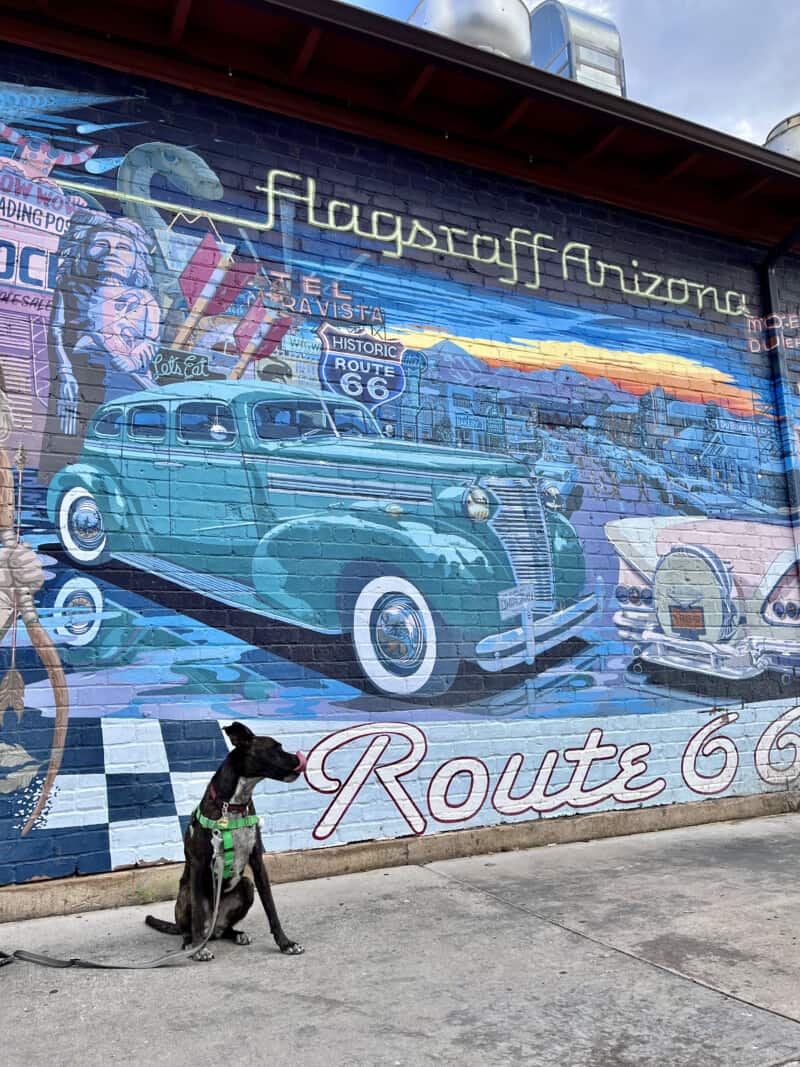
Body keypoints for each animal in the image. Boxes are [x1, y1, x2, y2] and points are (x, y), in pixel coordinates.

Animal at [144, 725, 307, 960]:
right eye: (276, 748)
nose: (300, 759)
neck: (233, 805)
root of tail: (211, 929)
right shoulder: (199, 864)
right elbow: (197, 913)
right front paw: (198, 950)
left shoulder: (257, 862)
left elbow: (271, 908)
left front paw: (286, 943)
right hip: (186, 894)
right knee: (189, 926)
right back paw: (191, 942)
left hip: (246, 886)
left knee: (224, 929)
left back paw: (236, 933)